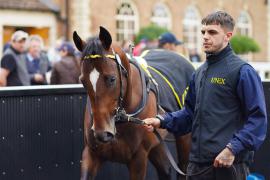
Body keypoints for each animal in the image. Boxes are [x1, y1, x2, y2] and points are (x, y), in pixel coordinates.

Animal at [73, 26, 193, 179]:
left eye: (112, 79)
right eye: (83, 81)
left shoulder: (138, 159)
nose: (102, 133)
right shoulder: (91, 154)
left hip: (184, 136)